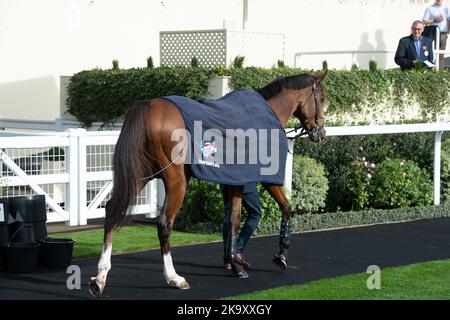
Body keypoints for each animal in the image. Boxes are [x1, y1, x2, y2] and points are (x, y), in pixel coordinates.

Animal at [88, 71, 326, 296]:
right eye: (322, 98)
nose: (321, 132)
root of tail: (148, 107)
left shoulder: (235, 181)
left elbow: (234, 219)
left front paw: (235, 261)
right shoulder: (262, 177)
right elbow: (282, 209)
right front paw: (277, 256)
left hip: (141, 174)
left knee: (112, 210)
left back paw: (100, 276)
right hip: (177, 181)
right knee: (164, 222)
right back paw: (173, 277)